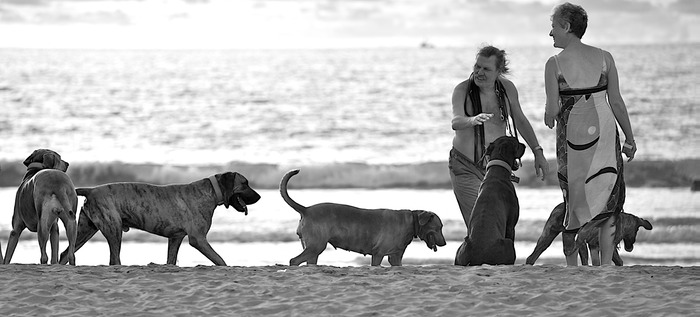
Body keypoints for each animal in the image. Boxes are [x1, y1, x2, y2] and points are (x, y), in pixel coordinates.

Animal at [58, 170, 262, 264]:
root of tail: (91, 190)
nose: (260, 197)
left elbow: (171, 260)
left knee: (65, 253)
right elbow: (219, 259)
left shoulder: (175, 238)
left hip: (85, 230)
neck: (211, 192)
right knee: (114, 259)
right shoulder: (198, 239)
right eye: (245, 183)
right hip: (113, 230)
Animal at [278, 169, 442, 266]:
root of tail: (306, 210)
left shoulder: (395, 257)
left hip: (313, 249)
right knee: (294, 260)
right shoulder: (378, 254)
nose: (444, 243)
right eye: (438, 227)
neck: (411, 222)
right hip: (316, 245)